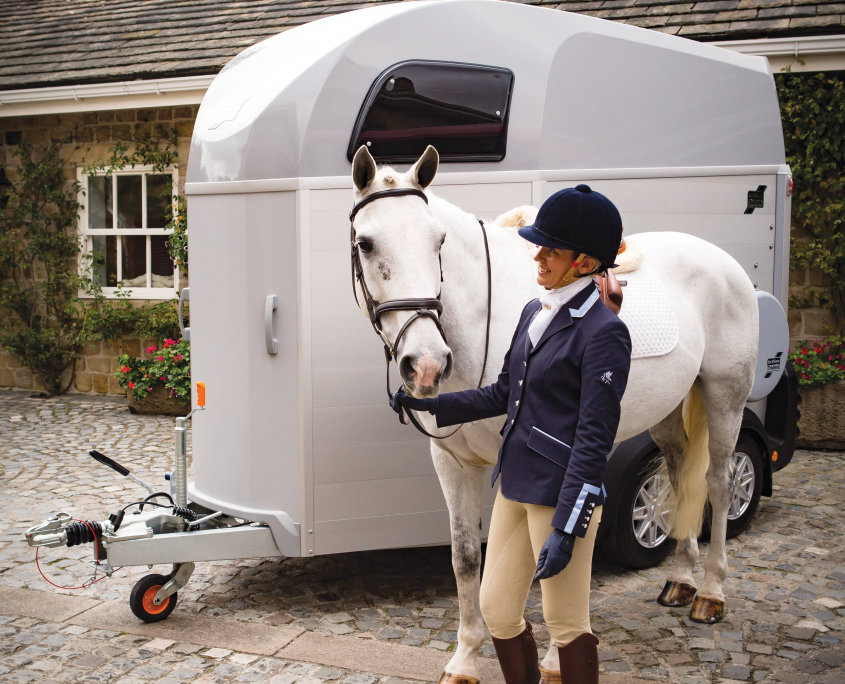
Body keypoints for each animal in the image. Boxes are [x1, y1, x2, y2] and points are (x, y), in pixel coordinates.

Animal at [350, 146, 760, 684]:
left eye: (437, 241)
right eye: (366, 243)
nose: (427, 363)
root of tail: (724, 261)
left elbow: (542, 561)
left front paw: (551, 662)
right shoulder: (454, 463)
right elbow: (466, 558)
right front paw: (465, 658)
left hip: (725, 397)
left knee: (718, 483)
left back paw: (710, 592)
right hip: (669, 415)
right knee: (680, 479)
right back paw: (681, 580)